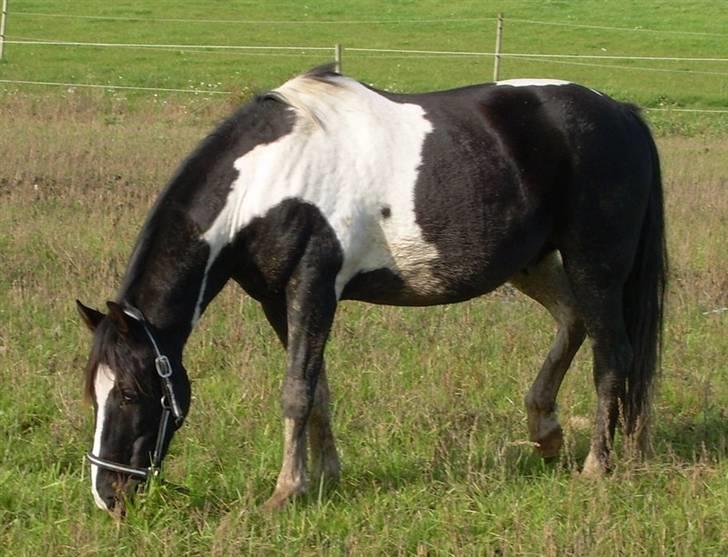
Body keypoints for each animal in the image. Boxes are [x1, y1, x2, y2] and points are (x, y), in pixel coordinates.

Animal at [78, 65, 664, 512]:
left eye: (129, 392)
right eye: (94, 393)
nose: (108, 495)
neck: (268, 180)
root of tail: (621, 114)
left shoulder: (314, 285)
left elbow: (295, 392)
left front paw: (285, 493)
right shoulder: (278, 300)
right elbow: (317, 391)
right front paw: (325, 477)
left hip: (596, 265)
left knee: (613, 354)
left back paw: (595, 467)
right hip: (534, 263)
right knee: (573, 320)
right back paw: (545, 432)